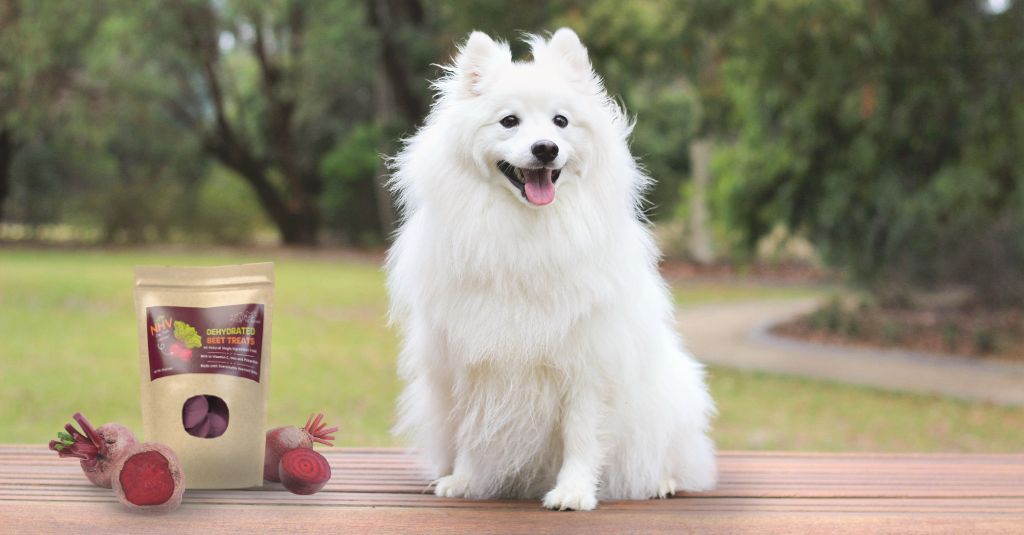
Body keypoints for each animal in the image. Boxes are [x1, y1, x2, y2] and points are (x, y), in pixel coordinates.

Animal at [385, 28, 720, 508]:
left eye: (561, 122)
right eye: (509, 121)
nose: (546, 148)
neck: (527, 231)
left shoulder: (587, 365)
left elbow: (580, 435)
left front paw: (574, 492)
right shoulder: (469, 363)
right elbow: (472, 430)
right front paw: (464, 481)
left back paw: (663, 481)